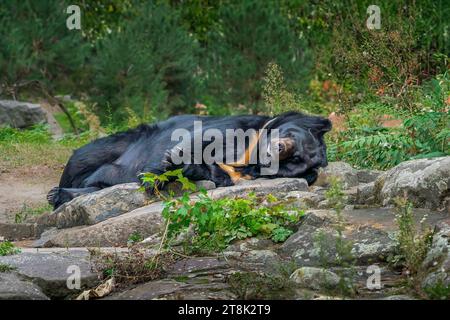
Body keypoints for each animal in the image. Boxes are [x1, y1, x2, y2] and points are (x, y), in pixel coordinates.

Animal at [48, 111, 330, 209]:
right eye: (291, 135)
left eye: (294, 160)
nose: (278, 148)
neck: (251, 152)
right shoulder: (234, 126)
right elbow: (195, 140)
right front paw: (156, 174)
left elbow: (215, 173)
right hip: (112, 145)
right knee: (81, 161)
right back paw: (57, 192)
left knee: (97, 185)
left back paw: (61, 195)